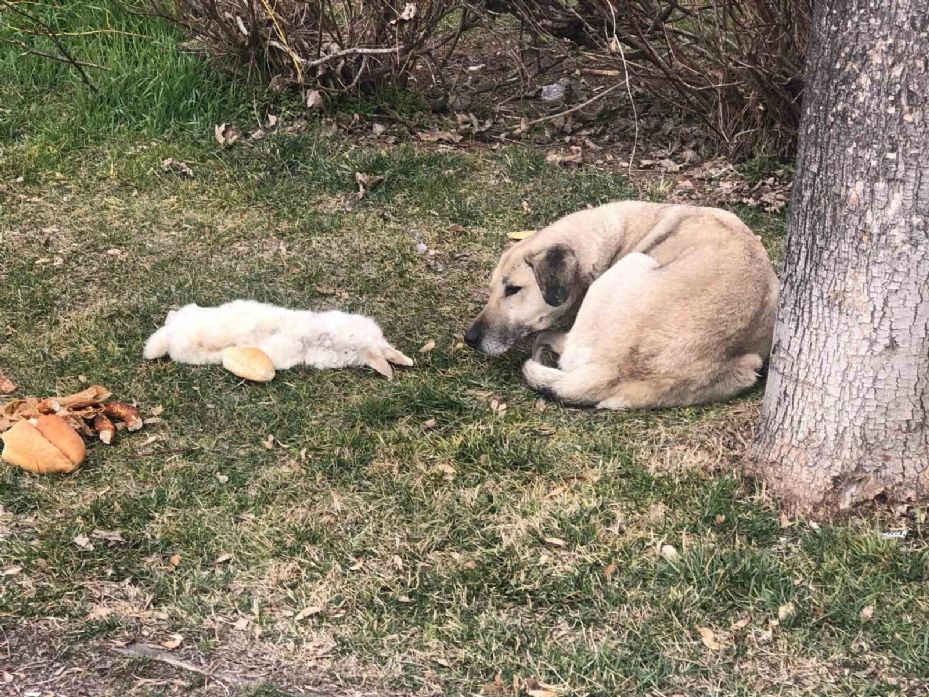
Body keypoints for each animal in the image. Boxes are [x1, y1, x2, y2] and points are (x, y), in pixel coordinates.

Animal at [464, 200, 776, 408]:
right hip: (748, 366)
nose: (469, 338)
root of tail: (614, 371)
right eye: (492, 290)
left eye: (513, 289)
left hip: (632, 264)